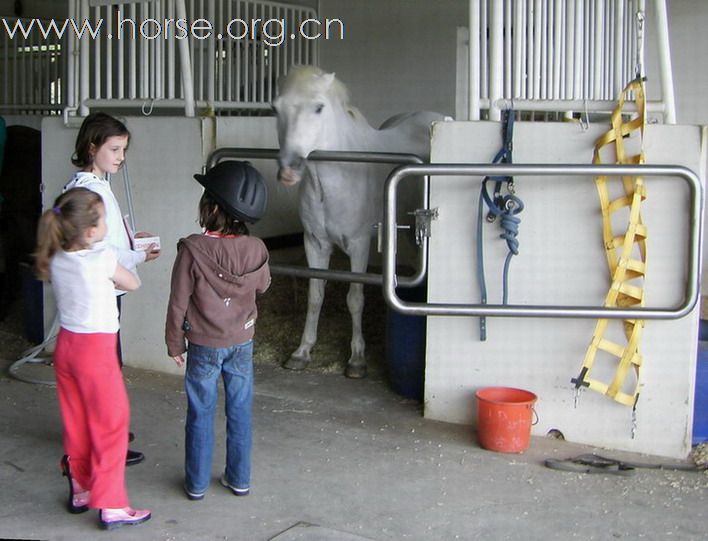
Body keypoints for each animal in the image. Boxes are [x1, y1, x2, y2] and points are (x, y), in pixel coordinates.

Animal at [272, 65, 442, 378]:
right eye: (275, 108)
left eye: (319, 107)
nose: (289, 170)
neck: (331, 180)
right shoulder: (314, 243)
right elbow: (315, 296)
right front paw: (302, 352)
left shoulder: (360, 245)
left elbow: (354, 299)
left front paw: (357, 359)